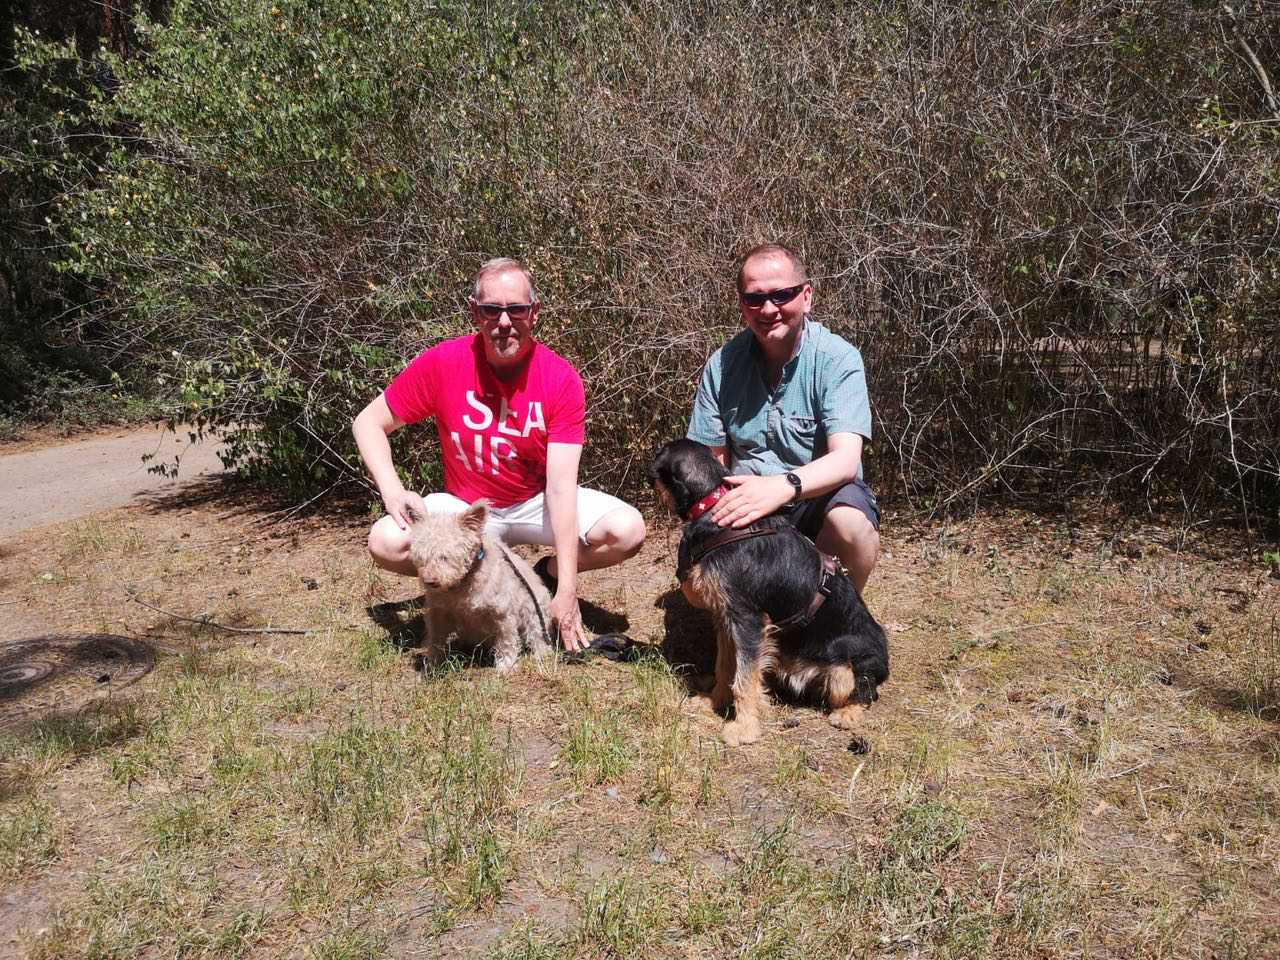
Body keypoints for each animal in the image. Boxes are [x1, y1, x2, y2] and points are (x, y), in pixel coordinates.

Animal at [406, 499, 553, 673]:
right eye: (421, 557)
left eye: (445, 556)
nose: (429, 581)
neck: (461, 586)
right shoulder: (438, 612)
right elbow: (436, 639)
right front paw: (433, 665)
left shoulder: (502, 613)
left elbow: (506, 640)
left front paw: (506, 665)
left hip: (534, 612)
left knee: (537, 635)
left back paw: (542, 653)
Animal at [649, 439, 889, 745]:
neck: (714, 507)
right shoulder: (726, 619)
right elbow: (725, 666)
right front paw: (714, 701)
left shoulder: (748, 621)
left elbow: (744, 678)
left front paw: (745, 728)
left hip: (845, 672)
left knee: (866, 692)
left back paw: (848, 714)